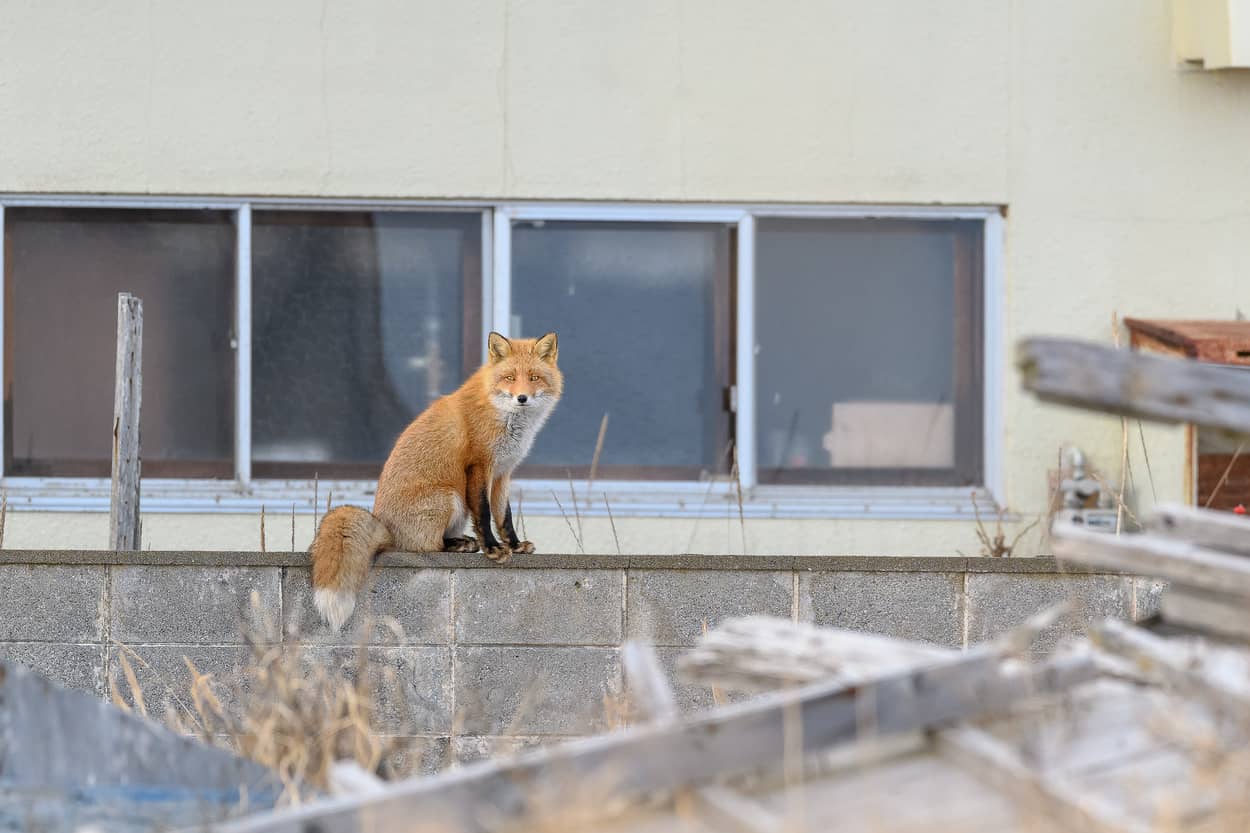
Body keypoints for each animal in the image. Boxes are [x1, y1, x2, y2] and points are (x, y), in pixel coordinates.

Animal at [310, 330, 565, 622]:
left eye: (534, 378)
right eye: (510, 378)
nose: (521, 398)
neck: (502, 415)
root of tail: (386, 529)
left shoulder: (503, 472)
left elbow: (504, 516)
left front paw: (514, 544)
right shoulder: (479, 466)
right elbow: (484, 513)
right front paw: (492, 548)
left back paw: (462, 542)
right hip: (451, 497)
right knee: (427, 547)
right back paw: (460, 545)